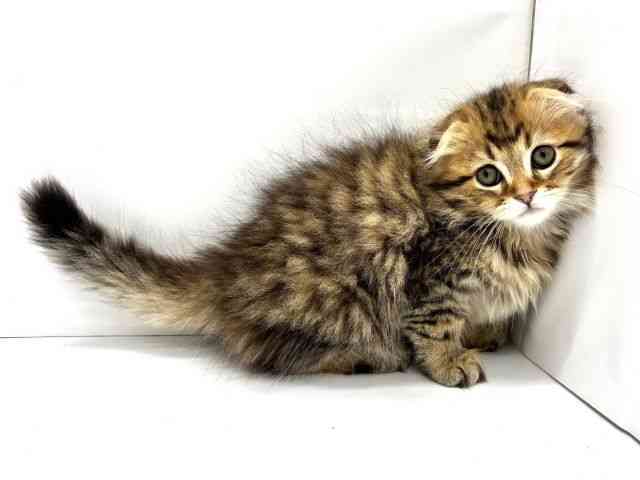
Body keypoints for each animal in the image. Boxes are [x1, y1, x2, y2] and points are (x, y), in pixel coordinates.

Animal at [21, 78, 596, 387]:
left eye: (542, 157)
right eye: (488, 176)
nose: (526, 196)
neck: (513, 234)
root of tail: (225, 266)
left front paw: (481, 332)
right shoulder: (430, 281)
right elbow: (434, 327)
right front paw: (450, 361)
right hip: (336, 300)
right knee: (264, 353)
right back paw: (364, 357)